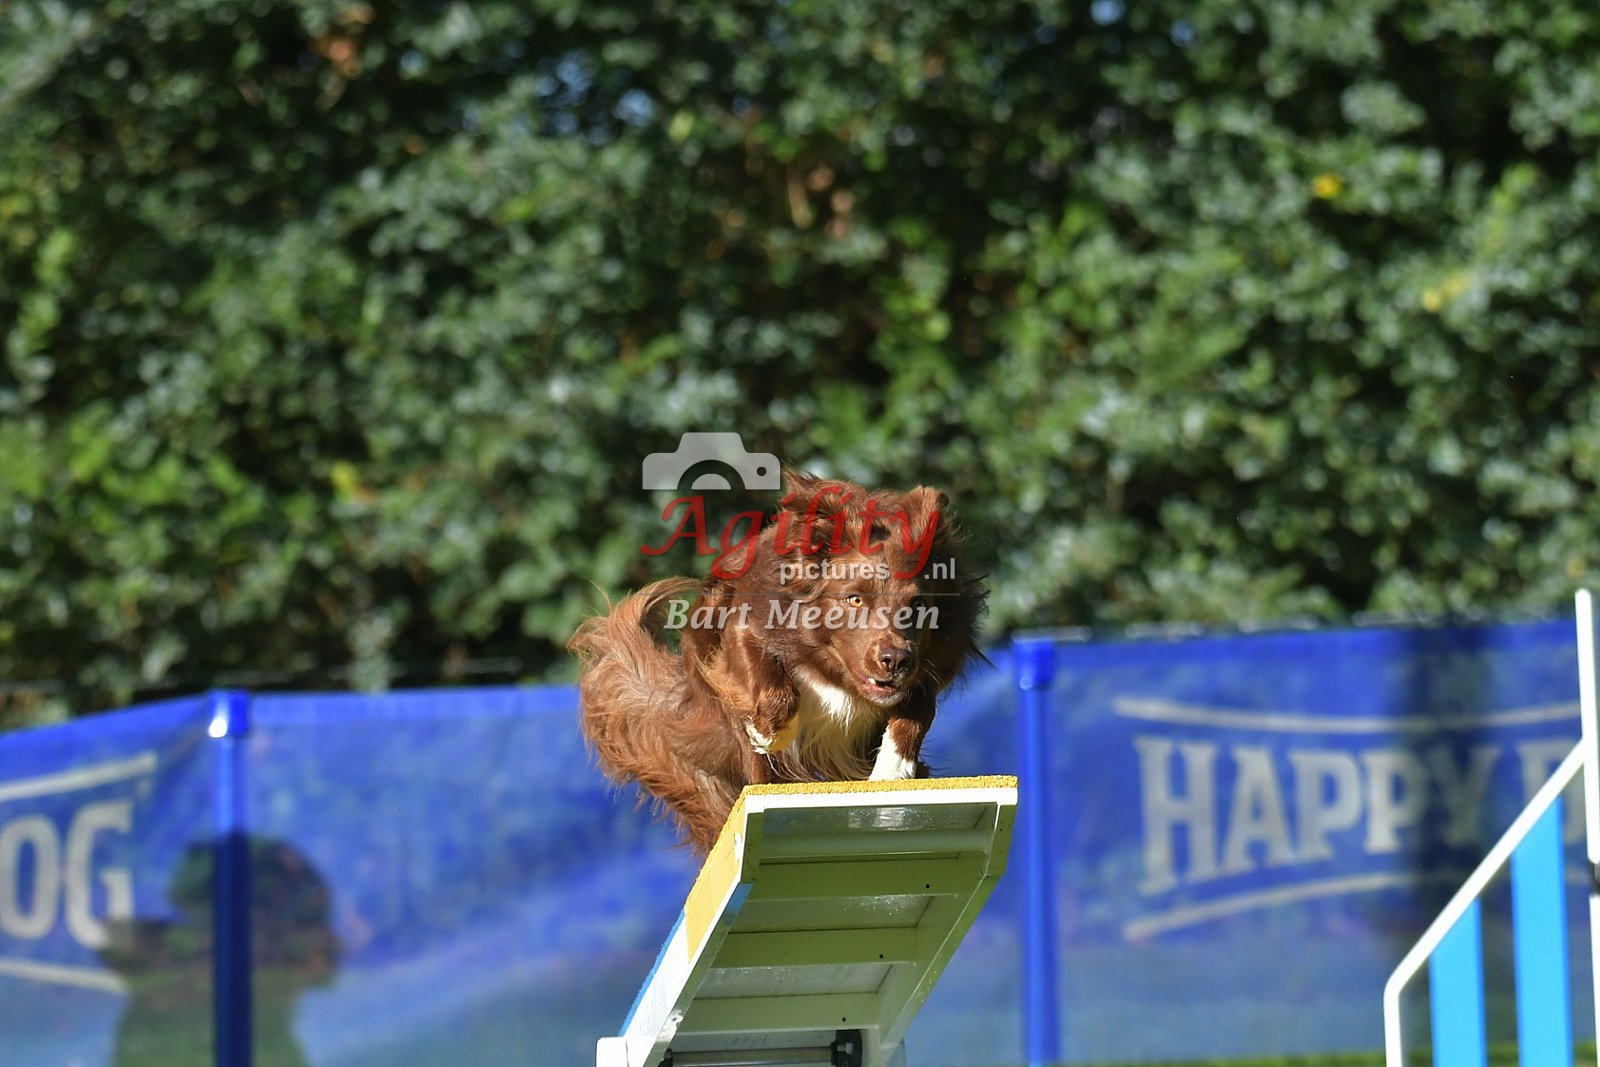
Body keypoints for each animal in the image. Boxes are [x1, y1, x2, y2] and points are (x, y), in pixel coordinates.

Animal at [571, 472, 987, 853]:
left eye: (916, 605)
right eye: (854, 599)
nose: (896, 660)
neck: (832, 670)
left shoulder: (931, 666)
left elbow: (920, 709)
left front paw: (894, 767)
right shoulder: (743, 631)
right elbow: (773, 688)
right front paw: (770, 733)